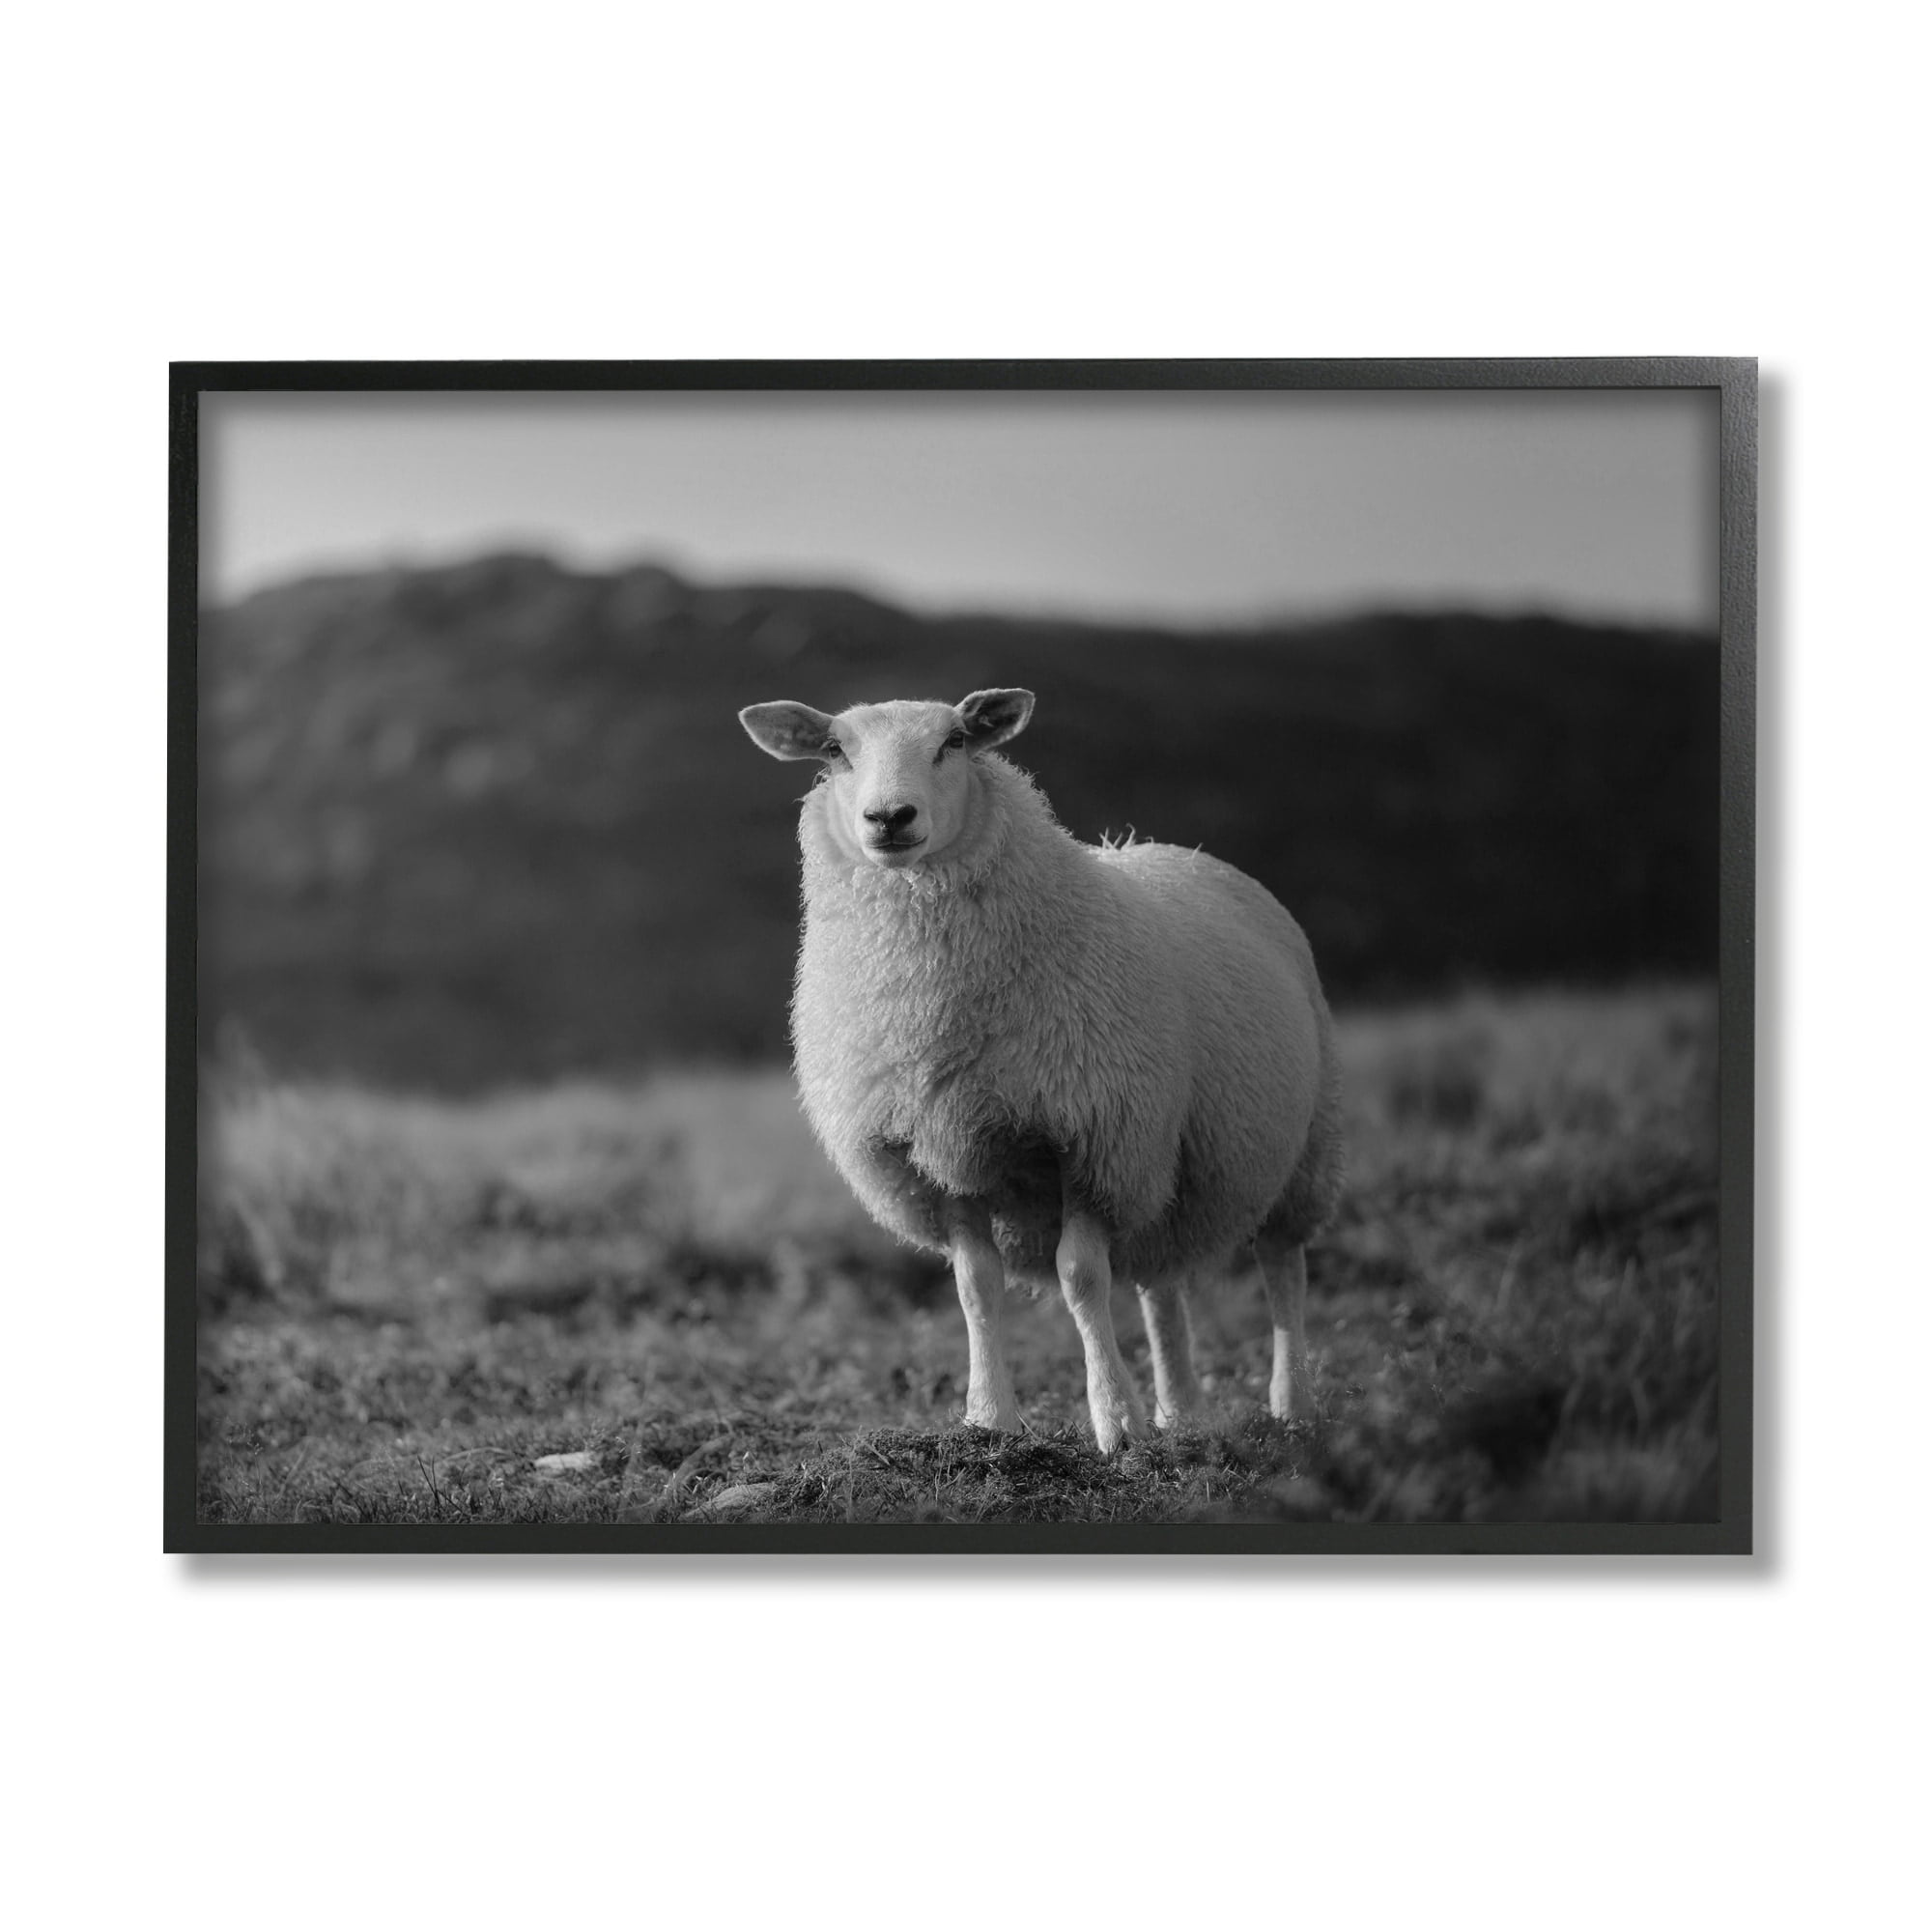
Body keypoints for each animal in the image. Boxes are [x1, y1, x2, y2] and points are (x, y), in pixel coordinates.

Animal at [738, 686, 1344, 1453]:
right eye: (834, 750)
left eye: (954, 743)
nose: (889, 818)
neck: (928, 1006)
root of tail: (1182, 852)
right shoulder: (940, 1152)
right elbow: (976, 1287)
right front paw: (989, 1419)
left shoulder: (1091, 1139)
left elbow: (1081, 1279)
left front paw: (1115, 1422)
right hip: (1161, 1160)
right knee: (1160, 1283)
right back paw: (1181, 1413)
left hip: (1302, 1146)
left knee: (1283, 1267)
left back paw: (1291, 1404)